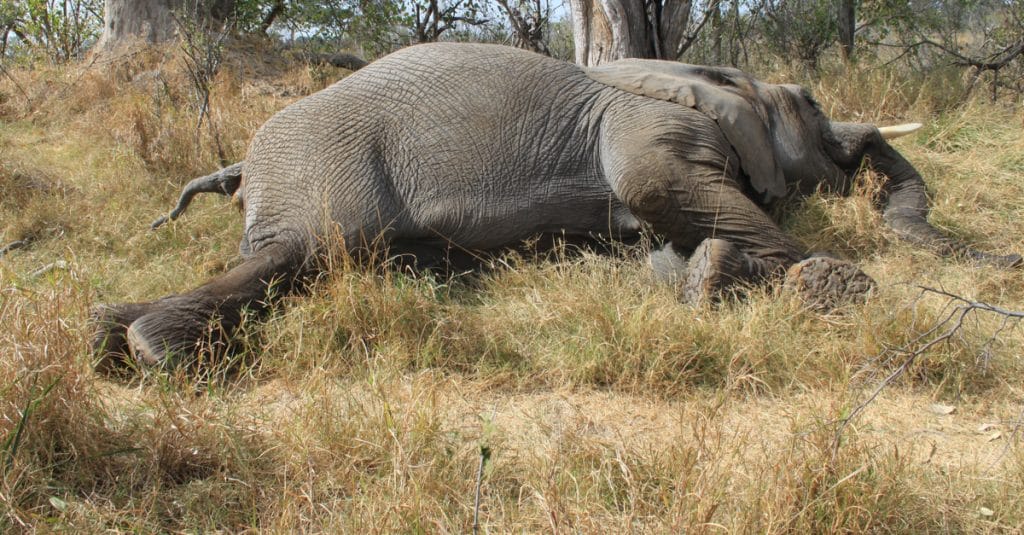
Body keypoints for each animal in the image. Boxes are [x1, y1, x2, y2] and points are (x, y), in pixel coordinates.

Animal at [92, 42, 1019, 371]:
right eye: (816, 104)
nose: (1007, 259)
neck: (713, 74)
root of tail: (241, 161)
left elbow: (663, 237)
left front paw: (707, 278)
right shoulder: (648, 126)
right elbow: (660, 189)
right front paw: (836, 286)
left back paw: (107, 333)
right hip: (326, 168)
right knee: (303, 253)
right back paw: (154, 350)